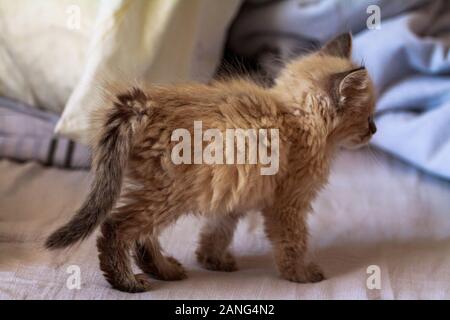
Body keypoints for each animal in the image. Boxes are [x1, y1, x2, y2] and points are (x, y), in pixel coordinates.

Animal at [45, 33, 376, 292]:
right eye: (368, 115)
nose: (374, 130)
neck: (295, 120)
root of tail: (147, 104)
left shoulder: (234, 193)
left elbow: (217, 231)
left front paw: (211, 260)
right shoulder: (287, 206)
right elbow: (293, 242)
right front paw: (302, 274)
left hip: (159, 190)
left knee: (143, 236)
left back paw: (164, 269)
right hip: (170, 194)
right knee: (117, 227)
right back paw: (127, 282)